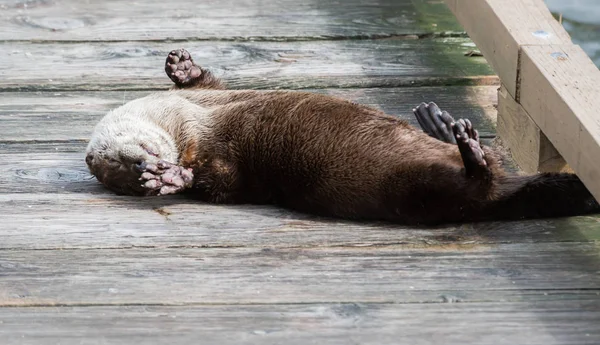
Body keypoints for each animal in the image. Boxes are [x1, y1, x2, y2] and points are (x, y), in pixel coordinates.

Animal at [85, 49, 600, 224]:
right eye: (126, 175)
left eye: (126, 161)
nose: (149, 168)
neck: (189, 123)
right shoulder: (218, 163)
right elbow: (221, 183)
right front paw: (175, 181)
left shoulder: (208, 97)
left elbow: (206, 80)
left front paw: (181, 65)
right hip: (423, 189)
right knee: (479, 185)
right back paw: (468, 150)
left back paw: (439, 123)